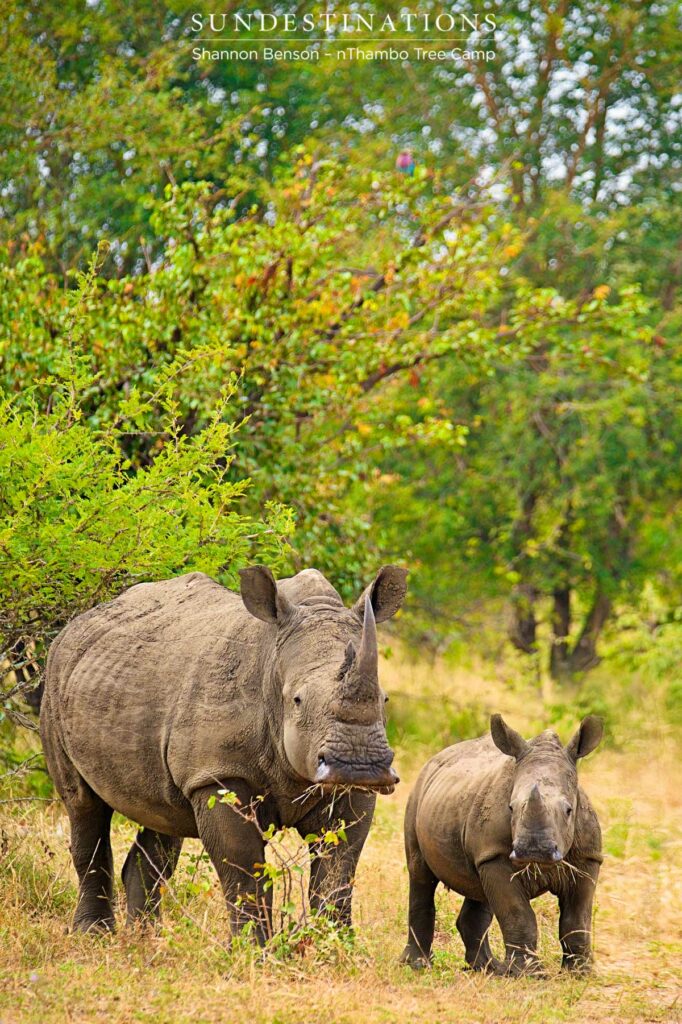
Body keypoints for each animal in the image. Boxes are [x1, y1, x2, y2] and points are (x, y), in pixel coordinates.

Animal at [39, 565, 407, 939]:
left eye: (384, 699)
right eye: (297, 700)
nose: (359, 767)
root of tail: (75, 624)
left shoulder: (350, 790)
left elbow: (338, 868)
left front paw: (334, 945)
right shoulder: (217, 773)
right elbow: (243, 866)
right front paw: (252, 948)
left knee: (162, 815)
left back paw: (147, 937)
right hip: (54, 683)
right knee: (83, 805)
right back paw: (94, 933)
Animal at [401, 714, 603, 975]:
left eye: (569, 810)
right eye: (511, 808)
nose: (534, 851)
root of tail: (435, 758)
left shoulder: (588, 858)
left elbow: (577, 920)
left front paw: (580, 973)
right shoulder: (496, 856)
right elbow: (518, 915)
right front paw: (529, 975)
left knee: (478, 890)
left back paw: (489, 968)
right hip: (417, 794)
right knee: (421, 875)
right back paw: (417, 965)